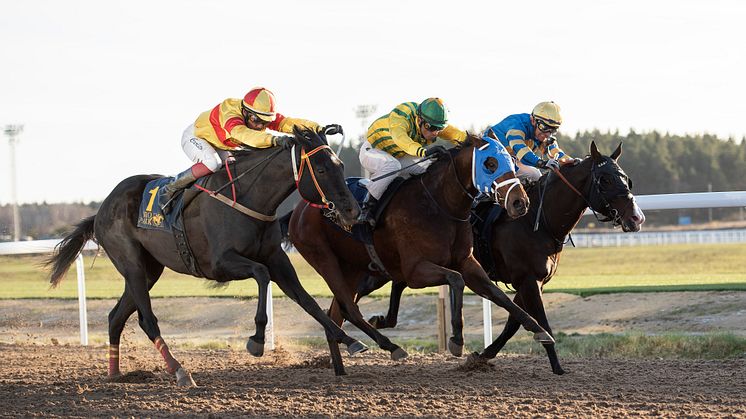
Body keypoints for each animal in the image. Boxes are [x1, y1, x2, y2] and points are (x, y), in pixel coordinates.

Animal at [46, 127, 366, 388]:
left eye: (339, 164)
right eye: (321, 170)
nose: (352, 211)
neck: (249, 199)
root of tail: (102, 209)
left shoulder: (277, 259)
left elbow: (306, 300)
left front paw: (350, 340)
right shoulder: (221, 264)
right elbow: (261, 275)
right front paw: (257, 340)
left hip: (149, 270)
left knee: (116, 317)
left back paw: (115, 373)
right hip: (132, 263)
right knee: (147, 320)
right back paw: (180, 372)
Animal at [282, 133, 556, 376]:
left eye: (511, 161)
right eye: (490, 163)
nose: (520, 203)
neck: (439, 205)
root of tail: (300, 208)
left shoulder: (467, 263)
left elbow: (498, 295)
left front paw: (539, 329)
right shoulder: (415, 271)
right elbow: (456, 280)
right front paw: (456, 340)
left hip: (353, 269)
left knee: (336, 313)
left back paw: (341, 368)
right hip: (325, 260)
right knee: (347, 309)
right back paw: (389, 347)